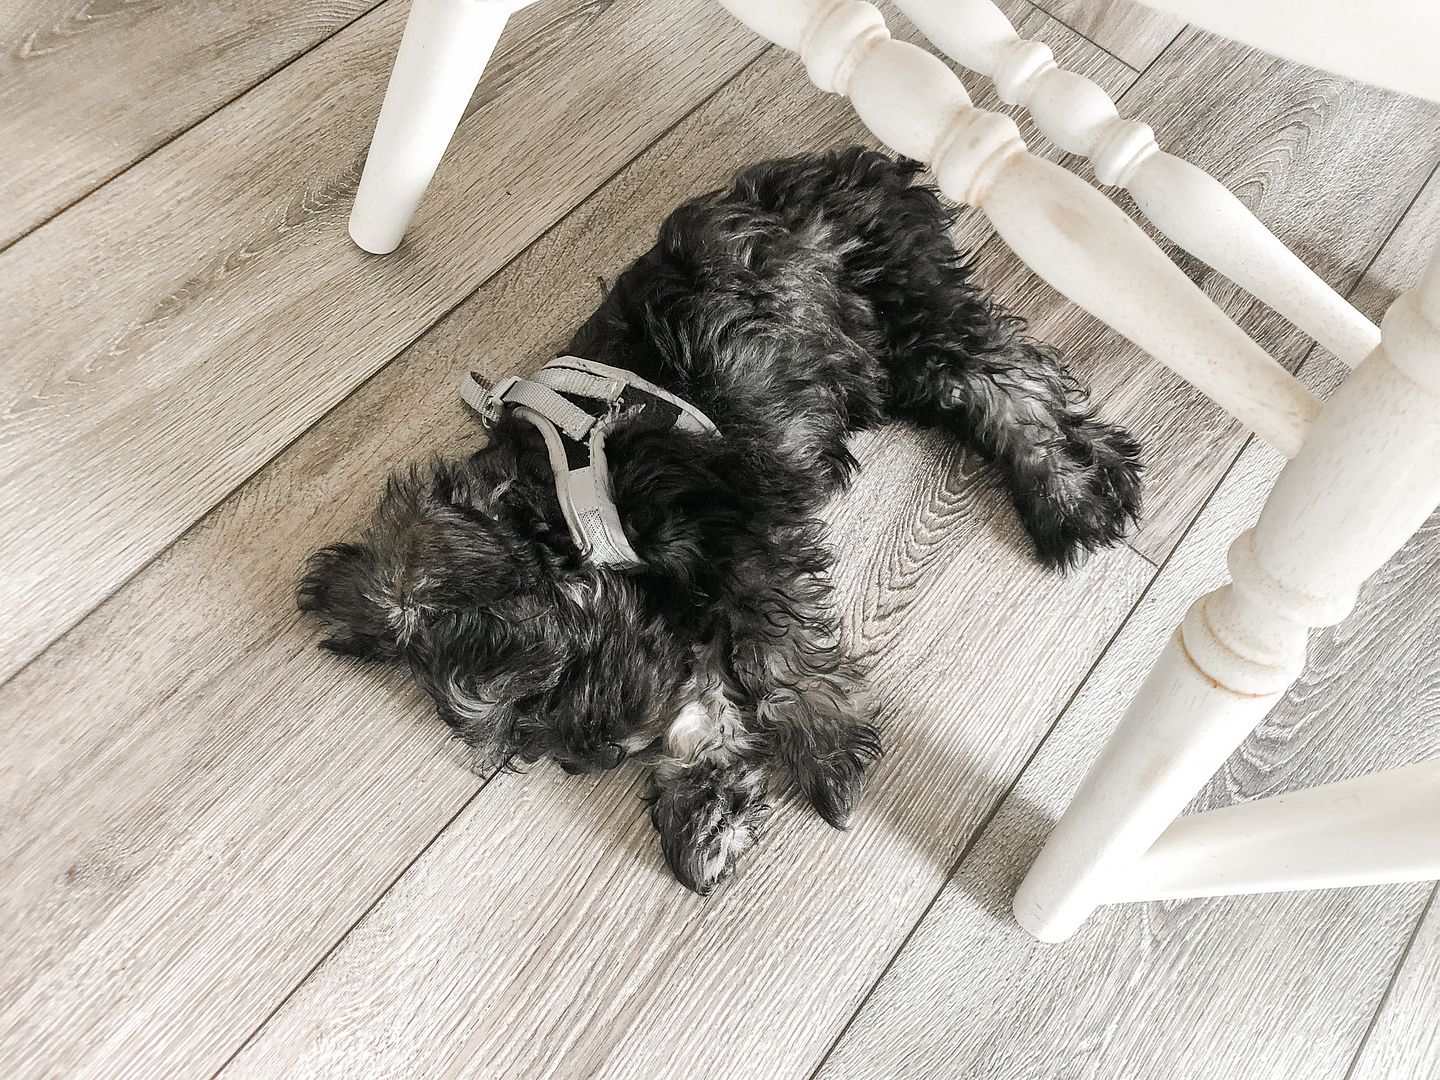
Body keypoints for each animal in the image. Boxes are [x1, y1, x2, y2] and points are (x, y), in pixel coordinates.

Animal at [299, 148, 1142, 894]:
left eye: (546, 686)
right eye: (524, 746)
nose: (604, 751)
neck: (568, 491)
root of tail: (858, 164)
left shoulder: (738, 537)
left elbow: (773, 652)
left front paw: (826, 748)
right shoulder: (672, 618)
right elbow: (702, 698)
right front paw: (705, 815)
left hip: (908, 309)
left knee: (1009, 377)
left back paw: (1072, 496)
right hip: (892, 362)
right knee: (992, 379)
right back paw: (1094, 480)